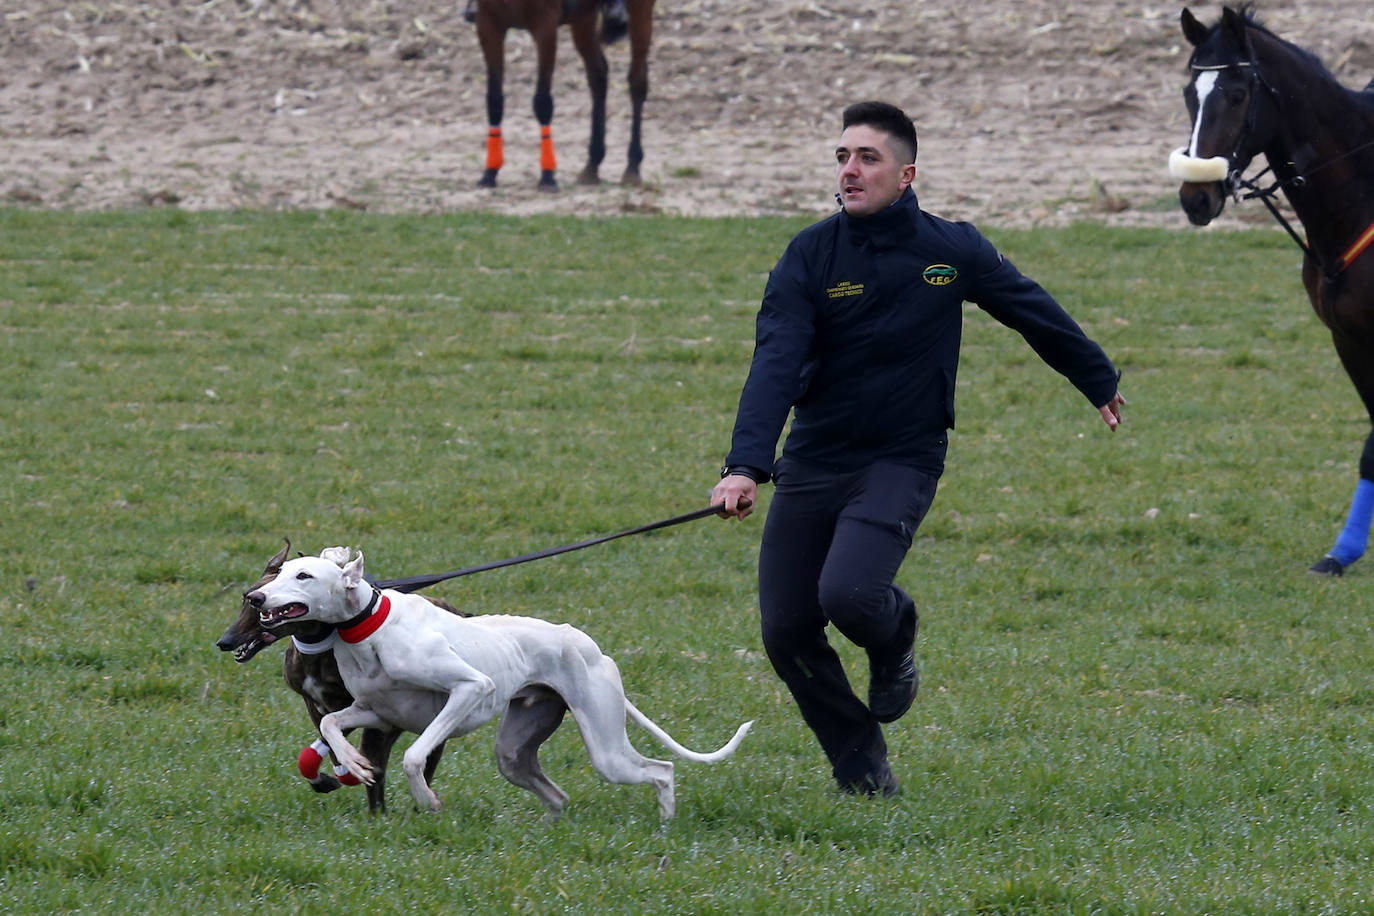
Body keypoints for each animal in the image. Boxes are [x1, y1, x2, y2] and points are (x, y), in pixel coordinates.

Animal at [472, 0, 654, 189]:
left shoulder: (546, 25)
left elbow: (542, 102)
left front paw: (547, 175)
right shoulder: (488, 23)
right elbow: (494, 101)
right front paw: (489, 173)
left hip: (640, 12)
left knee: (637, 81)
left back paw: (632, 167)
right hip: (584, 19)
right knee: (598, 76)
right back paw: (592, 166)